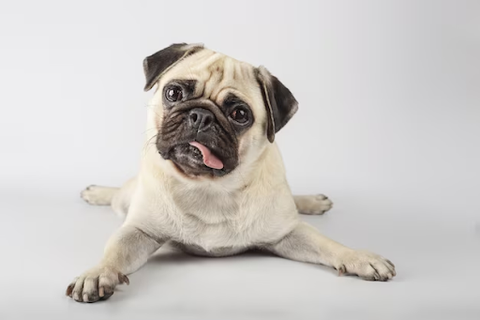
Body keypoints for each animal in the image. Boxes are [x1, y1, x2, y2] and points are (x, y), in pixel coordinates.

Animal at [68, 43, 398, 304]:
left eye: (240, 114)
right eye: (173, 92)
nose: (200, 115)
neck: (210, 188)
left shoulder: (288, 233)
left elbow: (328, 245)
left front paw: (359, 257)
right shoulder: (139, 232)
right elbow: (114, 252)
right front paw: (97, 274)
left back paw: (312, 201)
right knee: (118, 195)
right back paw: (96, 192)